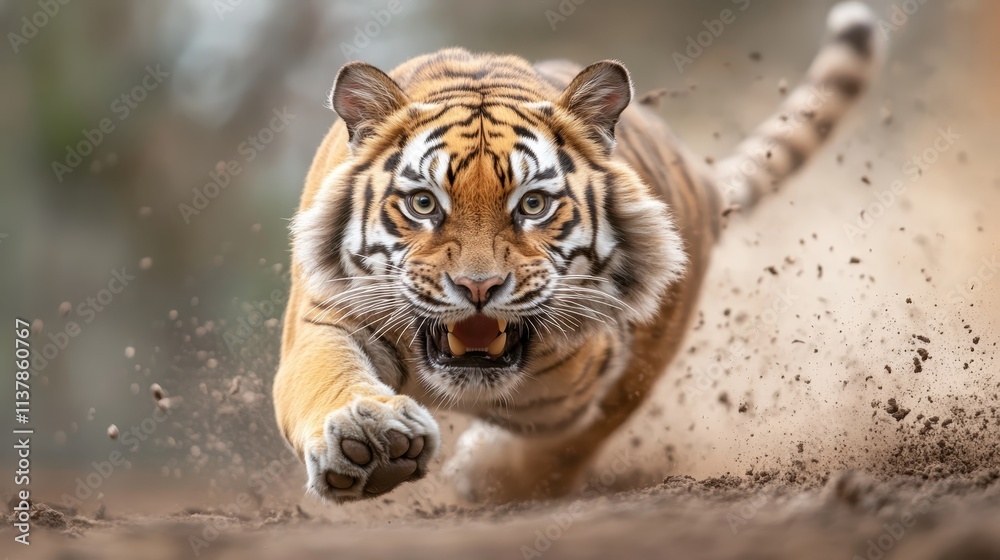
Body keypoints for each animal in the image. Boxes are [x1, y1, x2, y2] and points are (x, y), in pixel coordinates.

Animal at [273, 1, 884, 503]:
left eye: (534, 204)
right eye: (424, 203)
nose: (477, 288)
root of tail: (700, 175)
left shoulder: (591, 370)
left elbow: (556, 426)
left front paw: (485, 471)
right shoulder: (326, 317)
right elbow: (324, 373)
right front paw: (370, 441)